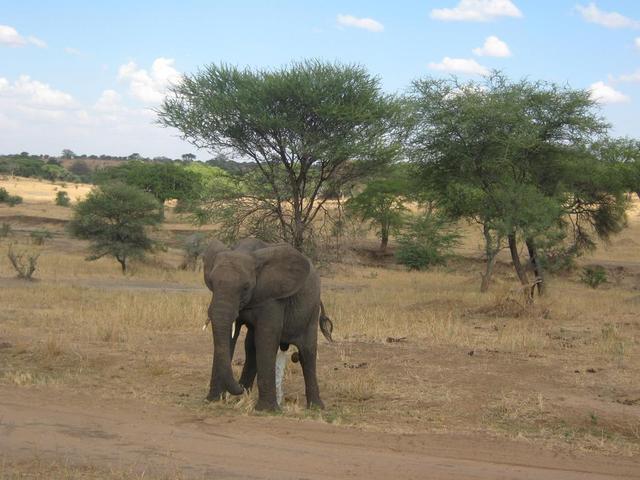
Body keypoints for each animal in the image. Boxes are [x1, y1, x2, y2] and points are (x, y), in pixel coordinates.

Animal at [204, 238, 336, 410]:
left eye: (246, 287)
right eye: (211, 283)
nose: (239, 388)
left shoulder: (273, 298)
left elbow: (266, 337)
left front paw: (266, 410)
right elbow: (230, 338)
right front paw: (212, 401)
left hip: (311, 308)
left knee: (307, 352)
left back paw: (316, 407)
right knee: (251, 347)